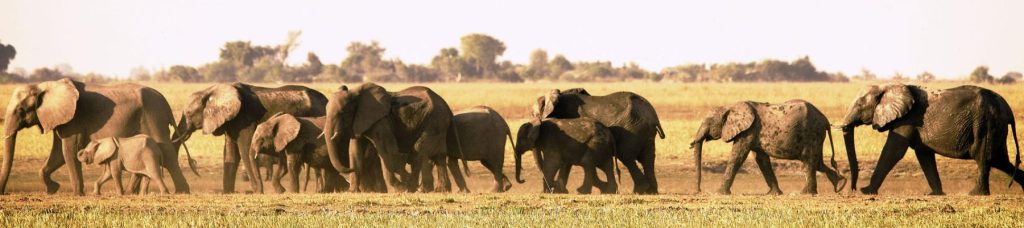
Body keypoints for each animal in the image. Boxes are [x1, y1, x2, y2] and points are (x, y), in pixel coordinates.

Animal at [0, 77, 192, 194]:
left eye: (21, 110)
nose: (3, 193)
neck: (44, 86)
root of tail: (164, 100)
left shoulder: (74, 119)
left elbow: (68, 151)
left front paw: (78, 194)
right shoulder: (60, 118)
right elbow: (58, 154)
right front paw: (52, 190)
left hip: (153, 116)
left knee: (167, 152)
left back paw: (182, 191)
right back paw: (132, 193)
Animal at [321, 82, 468, 193]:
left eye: (343, 112)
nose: (349, 168)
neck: (355, 93)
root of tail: (447, 107)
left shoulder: (381, 121)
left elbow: (386, 150)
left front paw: (401, 187)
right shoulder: (359, 121)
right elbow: (355, 152)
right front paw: (353, 191)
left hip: (435, 121)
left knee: (420, 150)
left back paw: (419, 189)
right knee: (438, 155)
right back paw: (438, 190)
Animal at [532, 87, 667, 193]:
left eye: (534, 115)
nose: (552, 187)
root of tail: (652, 115)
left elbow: (568, 161)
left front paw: (561, 191)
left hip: (632, 130)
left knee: (627, 157)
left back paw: (640, 190)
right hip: (644, 132)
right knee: (647, 159)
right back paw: (651, 191)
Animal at [688, 100, 847, 195]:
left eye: (708, 121)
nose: (698, 191)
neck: (730, 106)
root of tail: (825, 120)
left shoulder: (748, 131)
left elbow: (738, 156)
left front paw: (719, 193)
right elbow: (761, 160)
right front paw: (775, 194)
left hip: (812, 133)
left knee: (809, 162)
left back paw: (805, 193)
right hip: (816, 136)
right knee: (816, 162)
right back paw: (839, 184)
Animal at [835, 84, 1019, 196]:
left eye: (859, 106)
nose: (853, 189)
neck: (888, 86)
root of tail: (1008, 109)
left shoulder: (907, 120)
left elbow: (893, 151)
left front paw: (867, 191)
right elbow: (924, 155)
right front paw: (936, 194)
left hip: (985, 124)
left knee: (983, 158)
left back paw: (975, 194)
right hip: (995, 127)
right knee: (1000, 161)